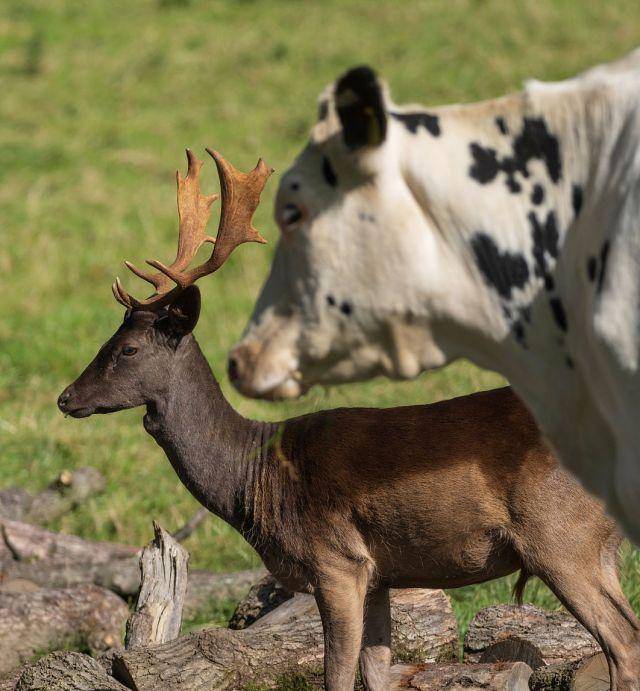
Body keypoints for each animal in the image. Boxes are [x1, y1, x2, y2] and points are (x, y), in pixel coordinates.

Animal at [57, 149, 636, 688]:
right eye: (109, 337)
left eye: (128, 348)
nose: (65, 398)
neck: (257, 482)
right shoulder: (380, 574)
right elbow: (376, 671)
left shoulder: (337, 560)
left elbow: (336, 674)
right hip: (597, 546)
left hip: (560, 537)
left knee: (622, 641)